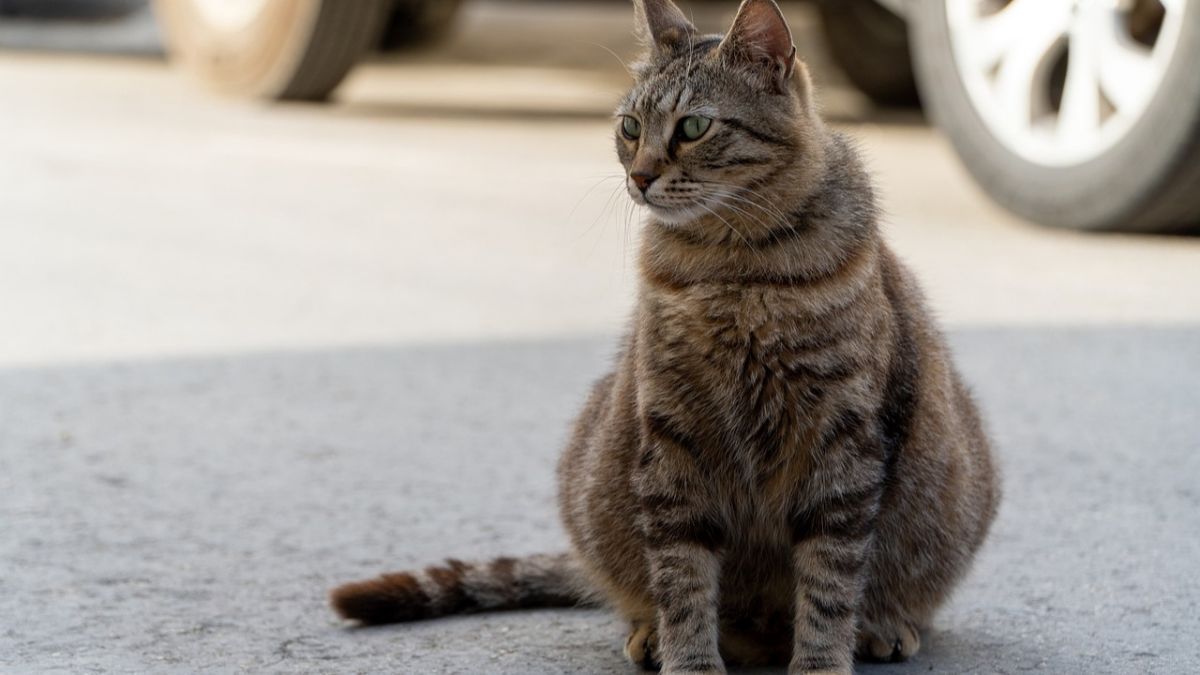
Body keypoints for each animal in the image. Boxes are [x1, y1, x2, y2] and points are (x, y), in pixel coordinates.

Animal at [331, 2, 1003, 667]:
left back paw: (883, 627)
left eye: (694, 126)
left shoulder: (841, 441)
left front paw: (821, 661)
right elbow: (682, 576)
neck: (730, 268)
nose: (641, 175)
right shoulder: (673, 434)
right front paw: (688, 657)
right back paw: (650, 632)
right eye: (630, 127)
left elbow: (830, 583)